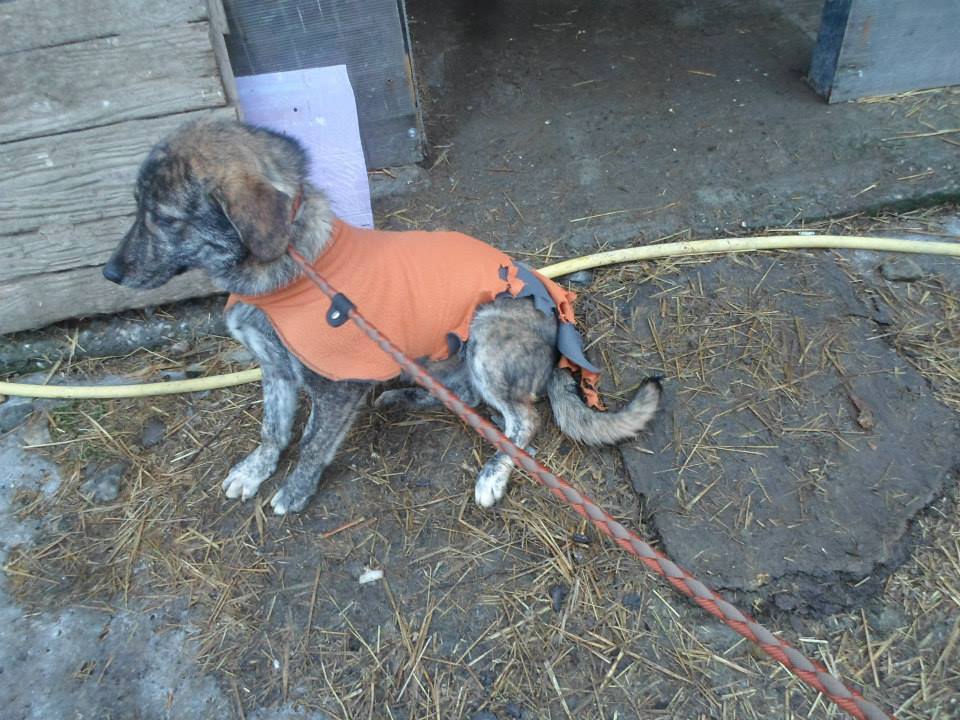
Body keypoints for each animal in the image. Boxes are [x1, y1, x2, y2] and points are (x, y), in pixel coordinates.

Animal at [103, 120, 661, 515]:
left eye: (165, 218)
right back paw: (402, 397)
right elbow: (273, 430)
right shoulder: (277, 370)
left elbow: (311, 444)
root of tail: (558, 320)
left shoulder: (335, 387)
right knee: (464, 396)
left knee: (522, 419)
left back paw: (494, 474)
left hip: (486, 331)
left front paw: (295, 491)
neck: (291, 272)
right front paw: (255, 470)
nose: (108, 273)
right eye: (136, 207)